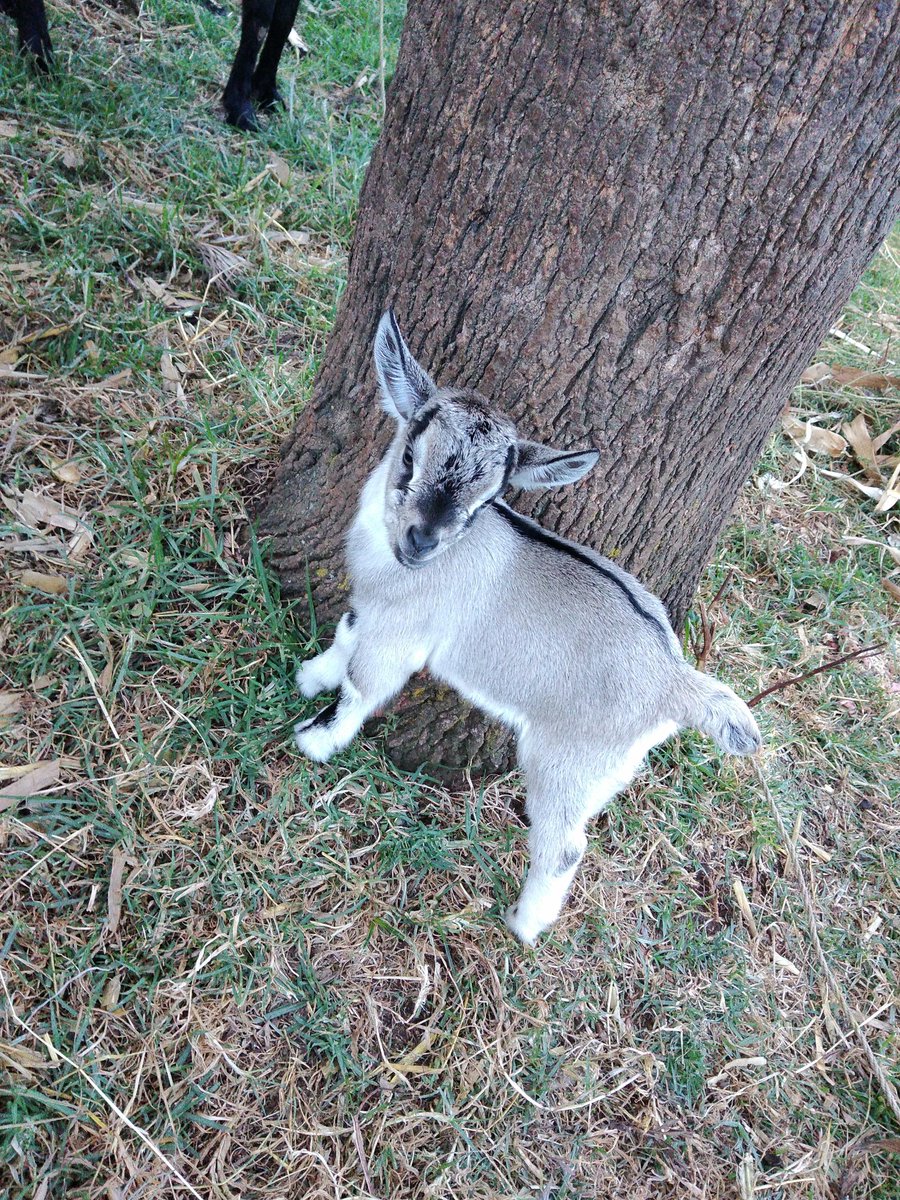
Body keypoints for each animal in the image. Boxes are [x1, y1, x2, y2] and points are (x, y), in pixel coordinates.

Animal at [294, 312, 762, 944]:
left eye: (490, 496)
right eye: (410, 456)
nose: (422, 541)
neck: (390, 559)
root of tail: (675, 679)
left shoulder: (402, 636)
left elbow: (362, 687)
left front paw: (317, 740)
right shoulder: (372, 606)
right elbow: (344, 636)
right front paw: (310, 676)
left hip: (566, 763)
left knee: (565, 846)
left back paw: (524, 923)